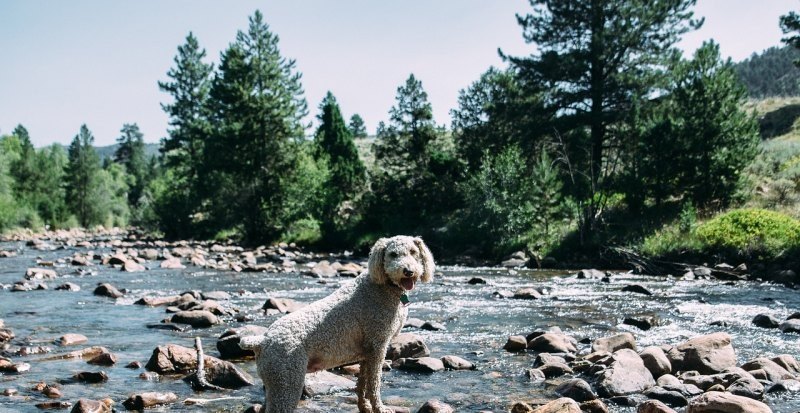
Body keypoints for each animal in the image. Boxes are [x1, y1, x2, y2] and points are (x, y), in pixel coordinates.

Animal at [241, 235, 434, 412]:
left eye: (413, 252)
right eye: (393, 254)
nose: (408, 271)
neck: (384, 286)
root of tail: (262, 341)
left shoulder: (367, 352)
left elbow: (362, 383)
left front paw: (365, 407)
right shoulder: (378, 345)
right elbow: (374, 383)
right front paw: (380, 408)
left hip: (275, 383)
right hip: (286, 381)